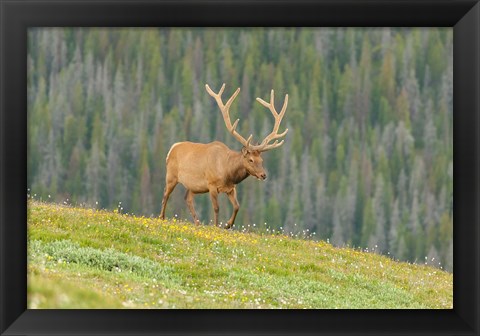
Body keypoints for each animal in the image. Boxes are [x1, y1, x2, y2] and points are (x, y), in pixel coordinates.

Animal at [160, 83, 288, 228]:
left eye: (261, 160)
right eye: (250, 160)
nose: (263, 175)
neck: (228, 172)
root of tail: (172, 148)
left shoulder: (231, 188)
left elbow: (237, 206)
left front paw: (228, 225)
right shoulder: (211, 184)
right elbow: (216, 208)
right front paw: (216, 226)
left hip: (194, 186)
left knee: (187, 198)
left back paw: (197, 222)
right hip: (171, 176)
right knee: (165, 194)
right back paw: (162, 217)